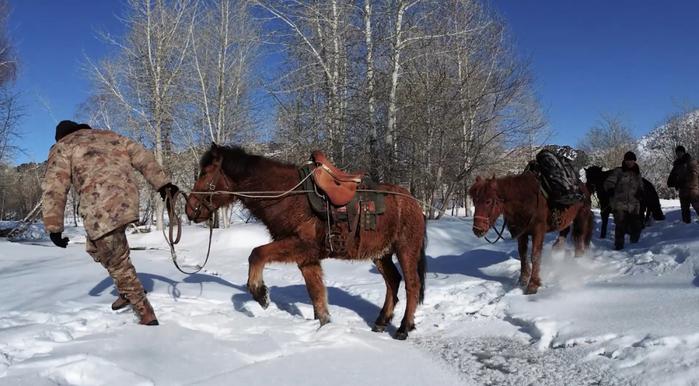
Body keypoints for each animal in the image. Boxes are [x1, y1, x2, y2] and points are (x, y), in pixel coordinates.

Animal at [186, 143, 426, 340]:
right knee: (393, 281)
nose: (190, 209)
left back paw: (404, 328)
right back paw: (381, 321)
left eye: (205, 172)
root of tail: (414, 201)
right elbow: (317, 296)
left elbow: (257, 253)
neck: (288, 196)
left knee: (412, 285)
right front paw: (324, 329)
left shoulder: (300, 245)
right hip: (381, 253)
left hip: (406, 249)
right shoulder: (307, 258)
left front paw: (260, 293)